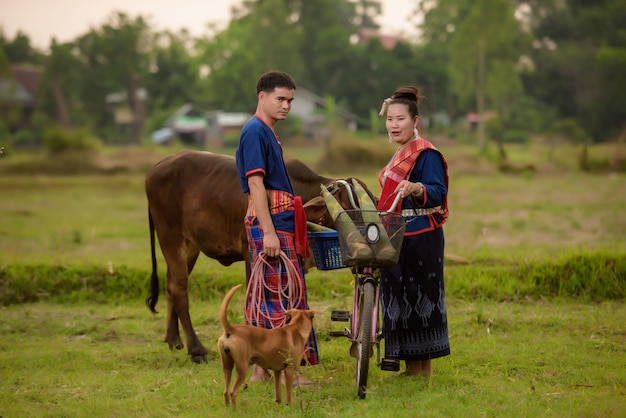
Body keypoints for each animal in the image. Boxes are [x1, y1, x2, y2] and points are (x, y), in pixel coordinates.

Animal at [144, 150, 372, 362]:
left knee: (170, 285)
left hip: (190, 246)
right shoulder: (252, 255)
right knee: (180, 289)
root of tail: (157, 167)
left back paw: (173, 339)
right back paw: (196, 349)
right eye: (343, 209)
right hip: (171, 237)